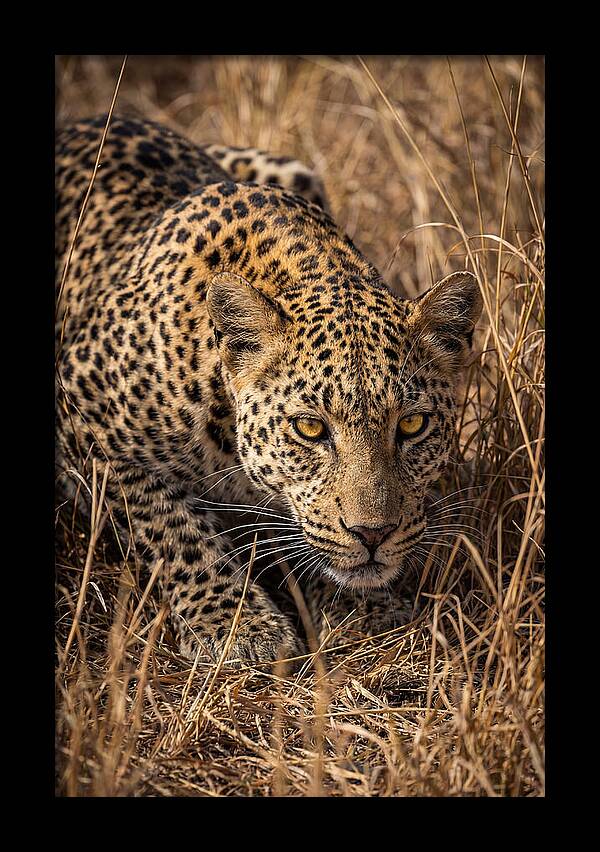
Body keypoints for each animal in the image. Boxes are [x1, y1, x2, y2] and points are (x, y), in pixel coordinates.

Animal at [55, 114, 483, 665]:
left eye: (412, 425)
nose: (373, 534)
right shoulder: (80, 411)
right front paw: (237, 624)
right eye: (310, 429)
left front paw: (364, 609)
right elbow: (170, 525)